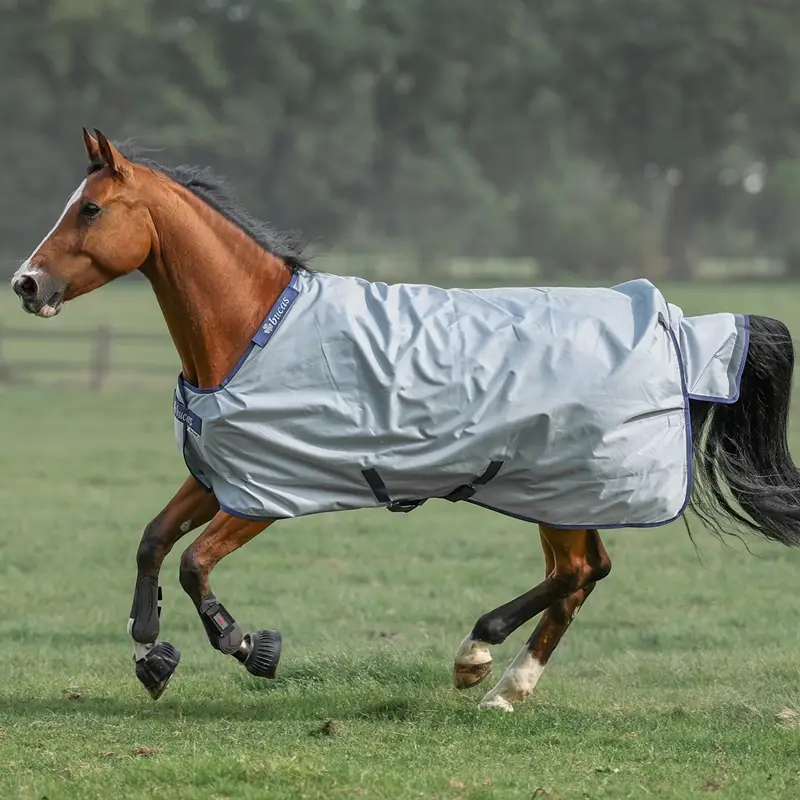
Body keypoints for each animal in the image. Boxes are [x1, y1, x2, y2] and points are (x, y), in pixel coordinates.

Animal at [10, 129, 800, 712]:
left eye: (89, 210)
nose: (25, 283)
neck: (255, 329)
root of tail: (678, 326)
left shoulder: (267, 494)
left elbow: (193, 563)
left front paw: (250, 647)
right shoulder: (220, 476)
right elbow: (152, 542)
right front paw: (149, 652)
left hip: (560, 486)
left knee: (580, 571)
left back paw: (477, 656)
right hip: (562, 491)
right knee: (582, 575)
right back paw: (507, 688)